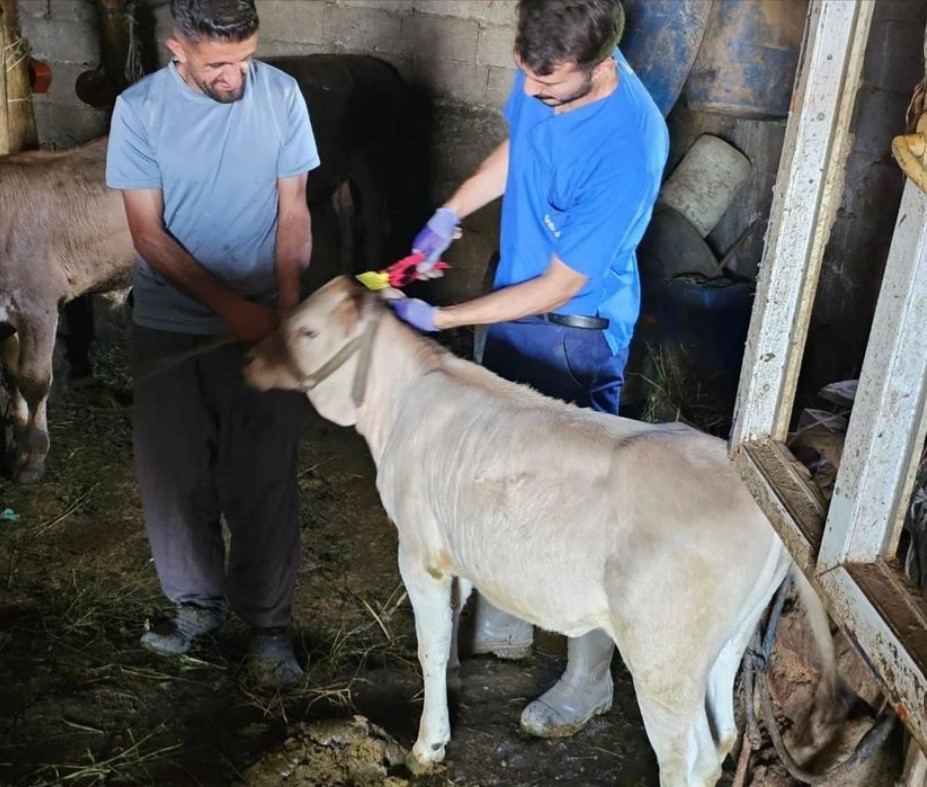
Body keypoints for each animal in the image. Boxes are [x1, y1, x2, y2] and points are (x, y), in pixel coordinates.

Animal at [246, 278, 840, 787]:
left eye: (307, 332)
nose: (249, 361)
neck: (400, 402)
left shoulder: (418, 551)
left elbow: (427, 647)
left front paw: (427, 745)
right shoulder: (459, 552)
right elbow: (453, 622)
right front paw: (456, 684)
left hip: (665, 655)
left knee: (686, 755)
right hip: (726, 645)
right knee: (722, 741)